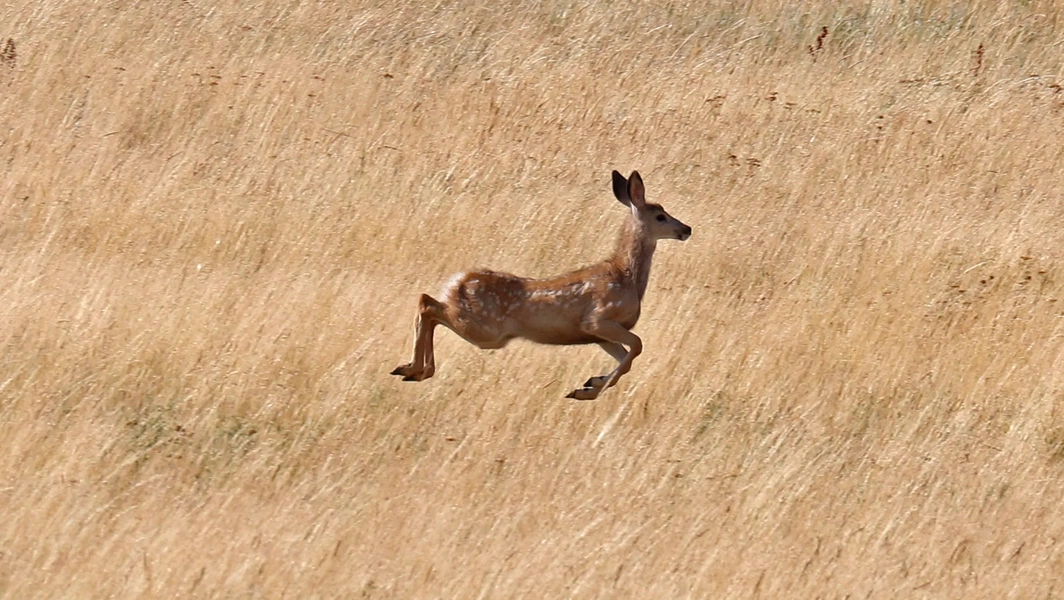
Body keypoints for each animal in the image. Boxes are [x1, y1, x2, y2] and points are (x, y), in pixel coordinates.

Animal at [390, 170, 692, 400]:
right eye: (660, 216)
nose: (686, 229)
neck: (625, 275)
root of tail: (456, 282)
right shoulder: (597, 320)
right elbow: (637, 346)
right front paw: (586, 391)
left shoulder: (599, 336)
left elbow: (624, 360)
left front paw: (590, 384)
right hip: (483, 329)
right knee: (427, 304)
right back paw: (414, 369)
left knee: (428, 304)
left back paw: (413, 370)